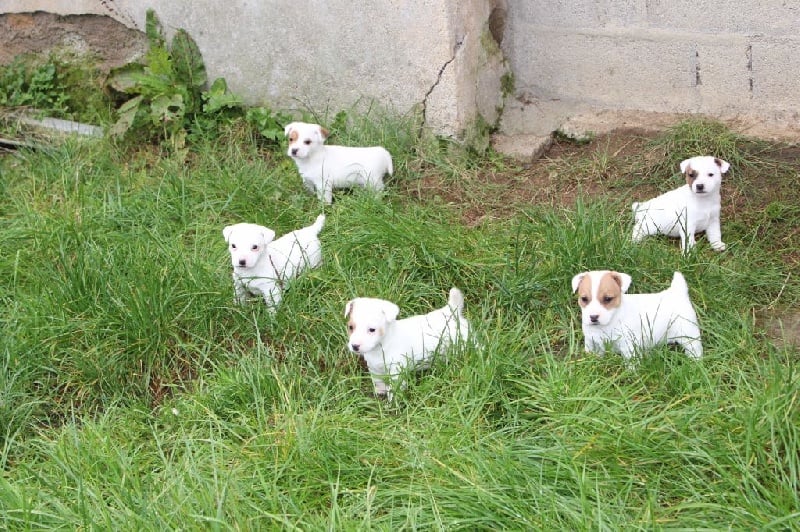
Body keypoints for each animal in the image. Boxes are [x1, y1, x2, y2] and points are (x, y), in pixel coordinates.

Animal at [572, 270, 704, 362]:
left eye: (608, 299)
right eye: (584, 299)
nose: (593, 317)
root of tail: (677, 292)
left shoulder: (628, 345)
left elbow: (631, 362)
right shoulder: (591, 341)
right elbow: (592, 353)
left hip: (689, 334)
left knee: (695, 348)